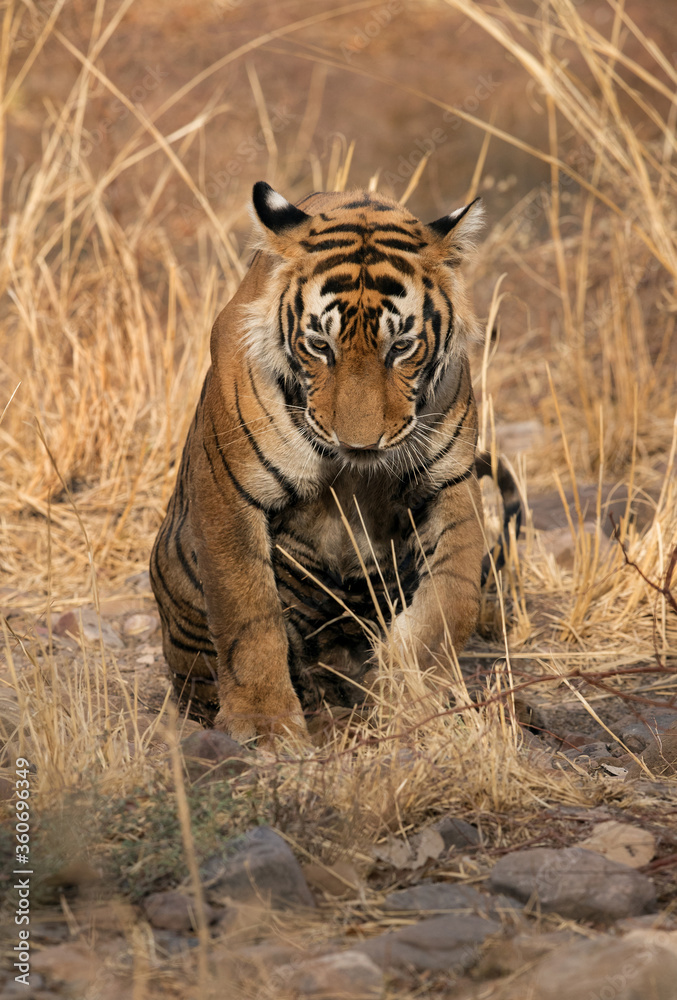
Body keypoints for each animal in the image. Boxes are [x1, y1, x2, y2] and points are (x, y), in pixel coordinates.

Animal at [150, 181, 517, 745]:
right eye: (320, 345)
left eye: (401, 346)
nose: (360, 444)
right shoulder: (229, 492)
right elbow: (247, 614)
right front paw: (263, 725)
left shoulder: (450, 481)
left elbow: (453, 600)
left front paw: (413, 696)